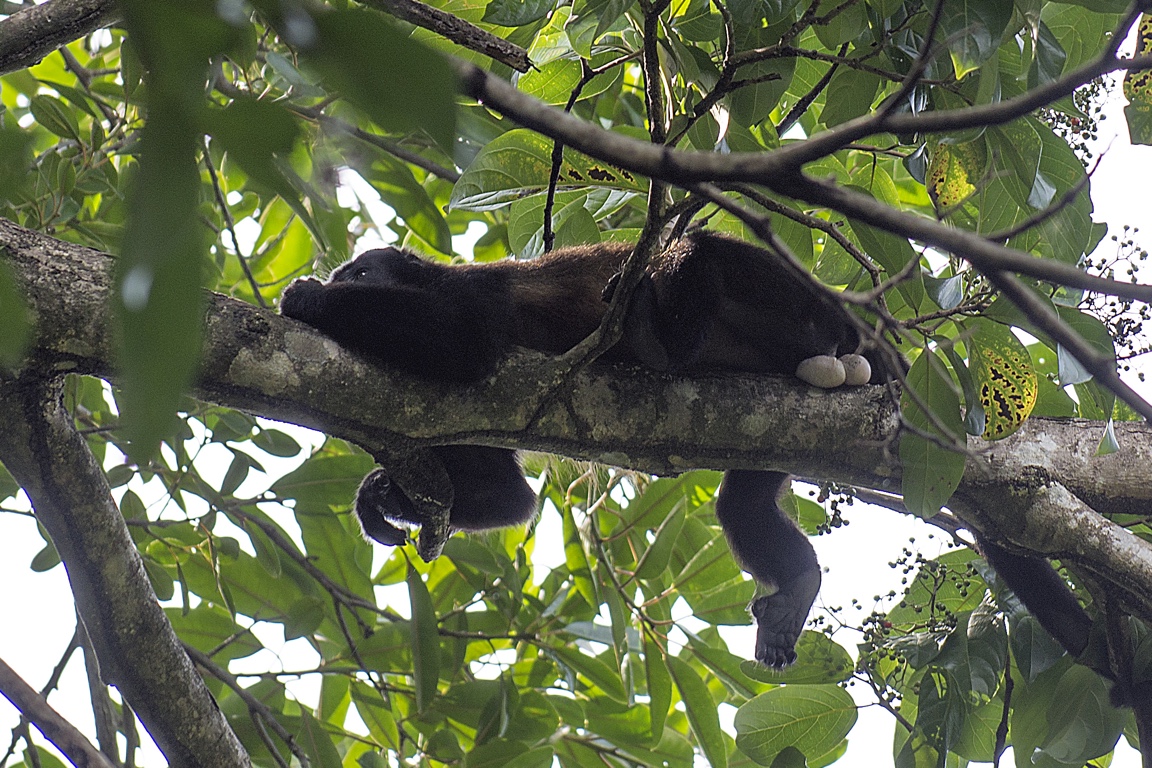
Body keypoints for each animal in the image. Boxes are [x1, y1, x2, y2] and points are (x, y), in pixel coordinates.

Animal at [278, 231, 1087, 667]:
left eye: (360, 272)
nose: (343, 276)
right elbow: (510, 498)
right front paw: (383, 497)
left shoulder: (477, 297)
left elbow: (464, 340)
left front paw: (308, 301)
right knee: (744, 505)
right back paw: (796, 584)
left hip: (785, 297)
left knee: (699, 249)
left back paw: (654, 336)